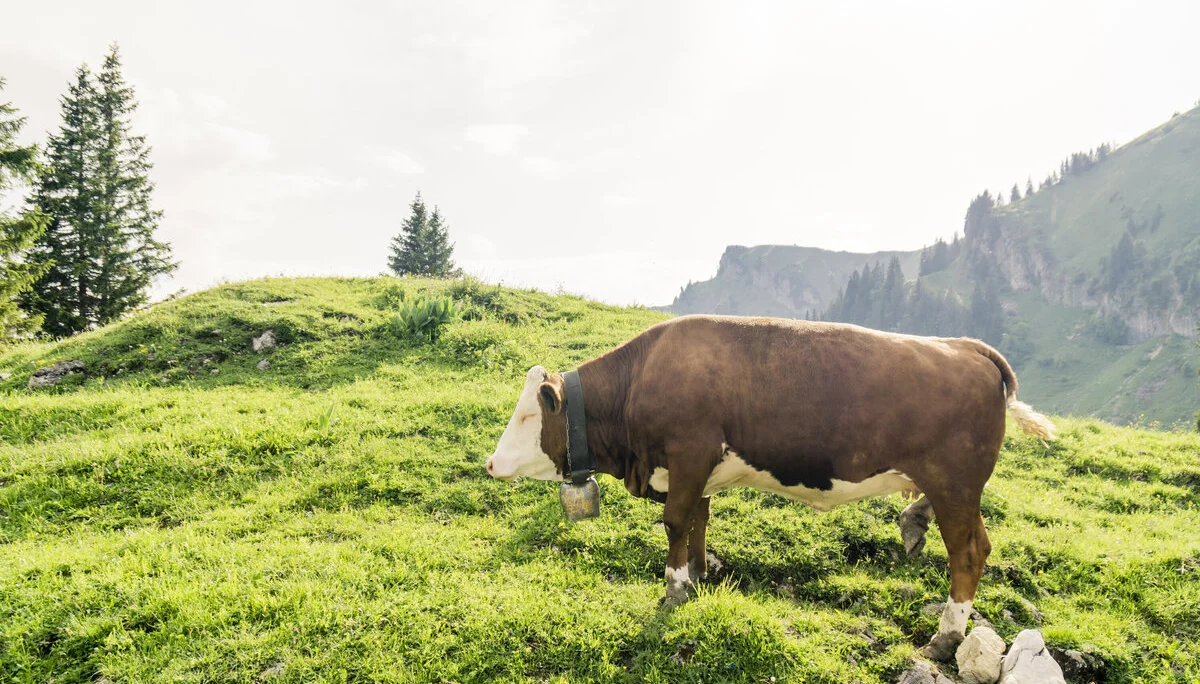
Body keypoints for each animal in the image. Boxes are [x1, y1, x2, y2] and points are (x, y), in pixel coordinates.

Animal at [485, 315, 1056, 658]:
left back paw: (948, 635)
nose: (491, 463)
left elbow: (674, 521)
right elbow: (698, 518)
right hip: (950, 486)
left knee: (969, 551)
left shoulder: (689, 452)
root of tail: (967, 347)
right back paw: (914, 525)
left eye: (525, 416)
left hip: (957, 483)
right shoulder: (699, 468)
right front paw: (699, 572)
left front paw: (674, 588)